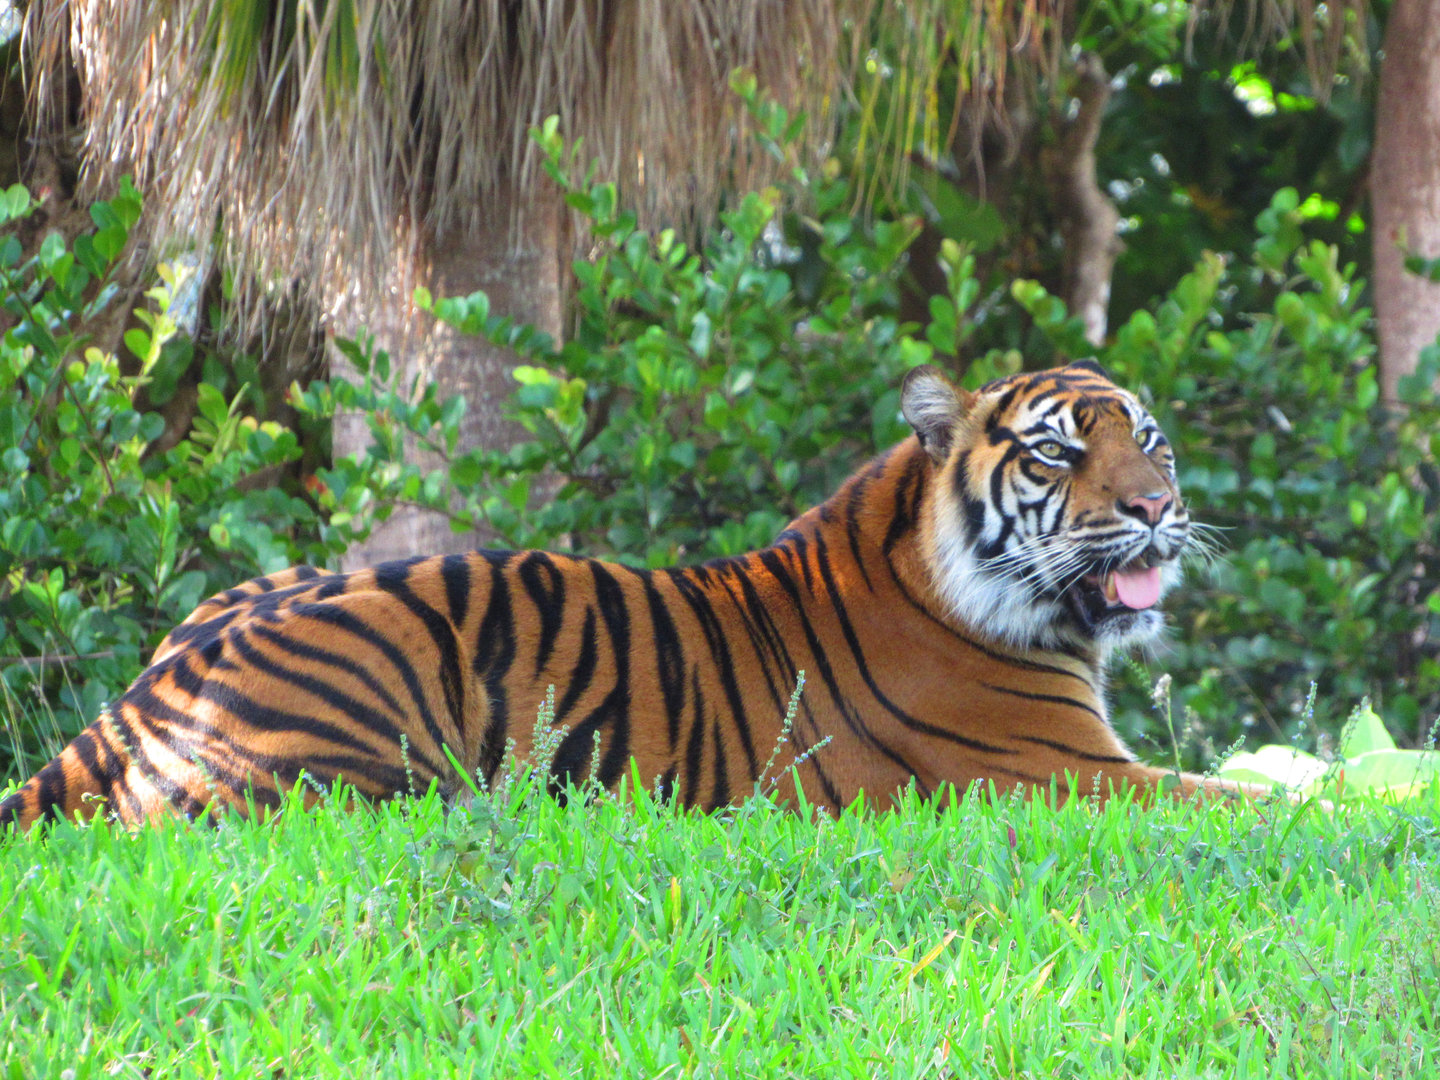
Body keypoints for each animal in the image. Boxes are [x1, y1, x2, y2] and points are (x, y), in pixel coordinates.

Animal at [1, 360, 1265, 830]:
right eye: (1056, 454)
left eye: (1149, 439)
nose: (1157, 505)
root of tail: (140, 696)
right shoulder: (1069, 776)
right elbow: (1272, 803)